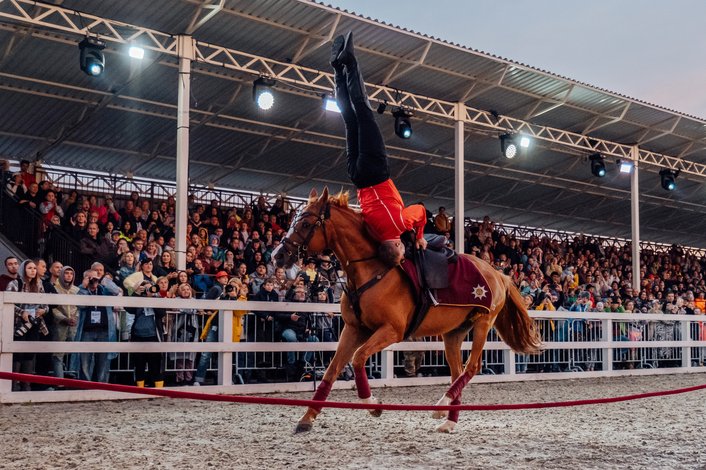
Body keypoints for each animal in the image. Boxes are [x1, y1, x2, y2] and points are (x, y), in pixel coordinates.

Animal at [272, 188, 540, 434]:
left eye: (306, 223)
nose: (278, 255)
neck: (373, 269)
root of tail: (498, 274)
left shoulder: (392, 331)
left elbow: (358, 358)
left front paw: (372, 404)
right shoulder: (353, 329)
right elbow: (332, 370)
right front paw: (307, 417)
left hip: (484, 322)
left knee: (472, 367)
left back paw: (441, 404)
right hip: (453, 333)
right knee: (457, 372)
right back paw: (449, 420)